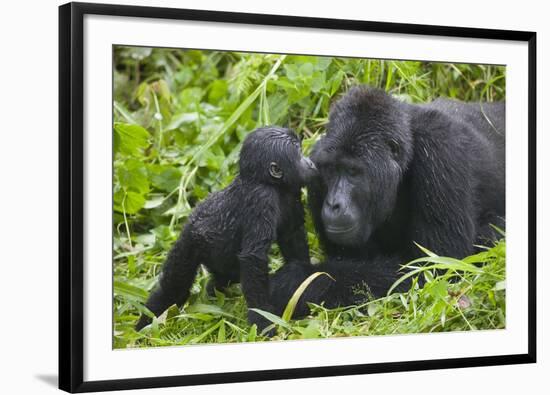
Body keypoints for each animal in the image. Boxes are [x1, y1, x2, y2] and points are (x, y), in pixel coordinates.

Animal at [137, 127, 316, 334]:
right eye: (299, 153)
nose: (310, 162)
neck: (267, 181)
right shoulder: (261, 199)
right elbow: (253, 258)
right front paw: (263, 320)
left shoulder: (291, 192)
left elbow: (292, 236)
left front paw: (305, 280)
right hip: (188, 243)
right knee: (174, 288)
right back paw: (146, 324)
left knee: (226, 276)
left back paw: (212, 292)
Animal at [270, 86, 506, 316]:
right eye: (331, 170)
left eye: (353, 172)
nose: (333, 204)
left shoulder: (442, 150)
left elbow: (435, 268)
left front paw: (295, 281)